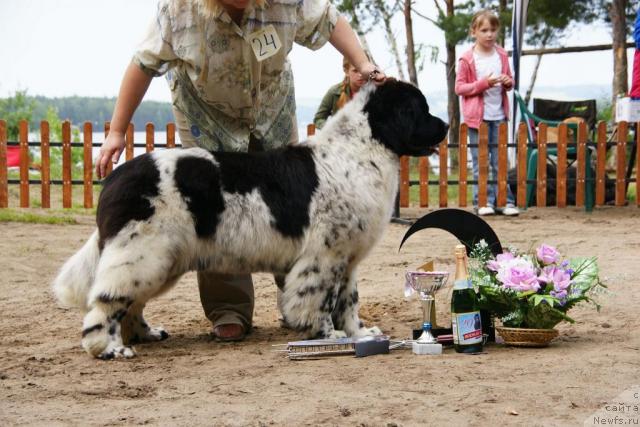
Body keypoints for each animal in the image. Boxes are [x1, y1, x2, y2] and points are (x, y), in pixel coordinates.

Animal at [52, 79, 448, 358]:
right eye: (421, 109)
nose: (445, 126)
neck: (359, 151)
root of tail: (115, 176)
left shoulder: (346, 259)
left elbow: (348, 301)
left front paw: (359, 335)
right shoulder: (323, 257)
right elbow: (319, 300)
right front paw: (328, 336)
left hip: (158, 261)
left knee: (130, 302)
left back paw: (145, 334)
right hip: (141, 254)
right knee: (106, 303)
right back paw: (109, 348)